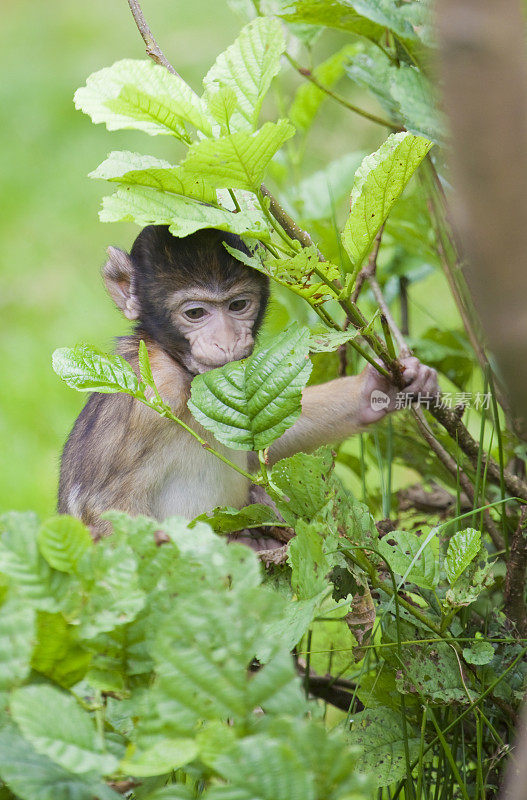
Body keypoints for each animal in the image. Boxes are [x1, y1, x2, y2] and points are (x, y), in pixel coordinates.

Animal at [57, 225, 440, 536]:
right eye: (195, 313)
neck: (180, 369)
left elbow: (268, 446)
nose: (227, 341)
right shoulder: (150, 399)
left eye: (238, 305)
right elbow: (104, 507)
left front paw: (375, 391)